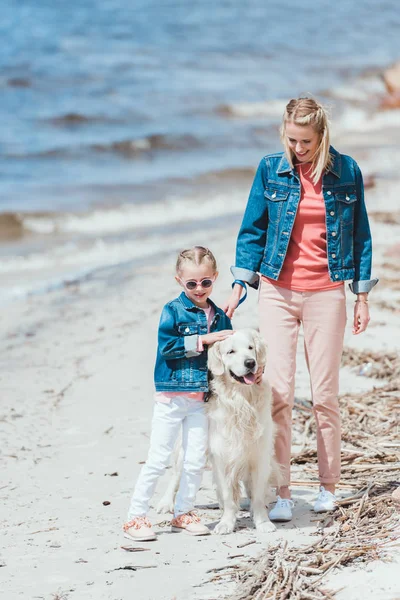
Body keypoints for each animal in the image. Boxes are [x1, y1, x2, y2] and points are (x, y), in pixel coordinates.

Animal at [156, 328, 278, 536]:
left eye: (250, 348)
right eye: (231, 352)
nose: (250, 363)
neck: (241, 401)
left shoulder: (258, 455)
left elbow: (258, 494)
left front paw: (262, 521)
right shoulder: (223, 456)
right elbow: (228, 495)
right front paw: (226, 523)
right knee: (176, 476)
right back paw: (165, 503)